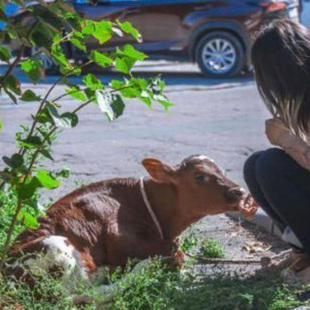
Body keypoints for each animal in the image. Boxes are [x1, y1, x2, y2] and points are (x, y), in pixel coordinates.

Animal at [5, 156, 256, 290]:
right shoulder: (122, 244)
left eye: (222, 171)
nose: (241, 192)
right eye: (200, 177)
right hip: (58, 247)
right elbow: (177, 256)